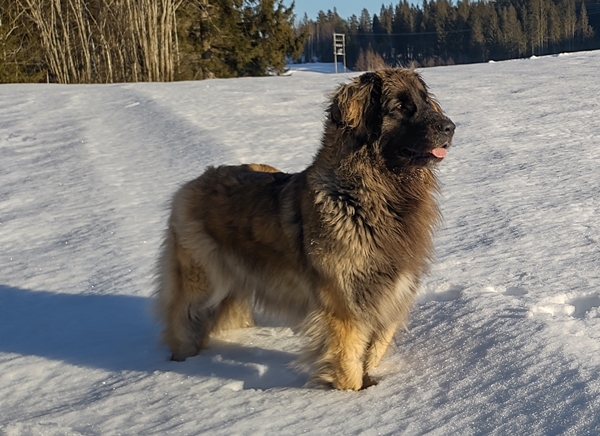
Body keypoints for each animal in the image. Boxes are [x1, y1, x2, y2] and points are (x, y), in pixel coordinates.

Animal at [154, 69, 454, 392]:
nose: (450, 127)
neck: (368, 197)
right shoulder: (343, 305)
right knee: (184, 322)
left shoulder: (392, 290)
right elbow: (348, 358)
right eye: (399, 107)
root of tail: (192, 183)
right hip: (200, 283)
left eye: (424, 101)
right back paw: (181, 363)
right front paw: (351, 393)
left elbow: (378, 343)